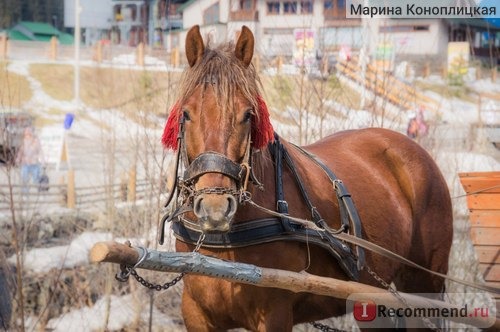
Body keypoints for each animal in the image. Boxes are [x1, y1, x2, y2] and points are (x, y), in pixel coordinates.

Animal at [162, 24, 456, 330]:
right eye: (186, 113)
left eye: (248, 115)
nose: (215, 209)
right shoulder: (195, 312)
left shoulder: (275, 312)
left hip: (423, 283)